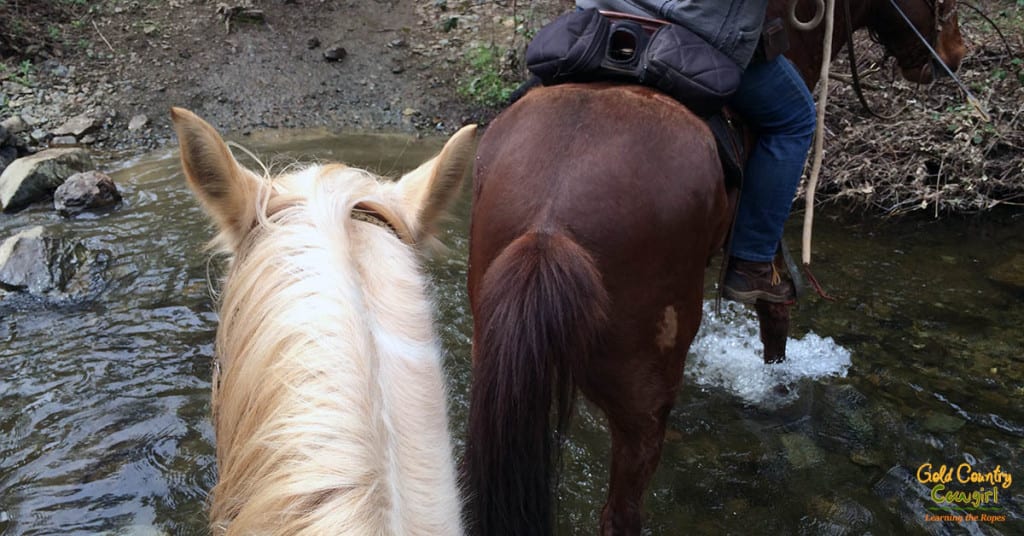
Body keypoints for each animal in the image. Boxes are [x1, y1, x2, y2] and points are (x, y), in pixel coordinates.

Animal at [466, 1, 966, 536]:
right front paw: (775, 389)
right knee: (621, 511)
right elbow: (774, 317)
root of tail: (547, 229)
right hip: (644, 397)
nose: (955, 55)